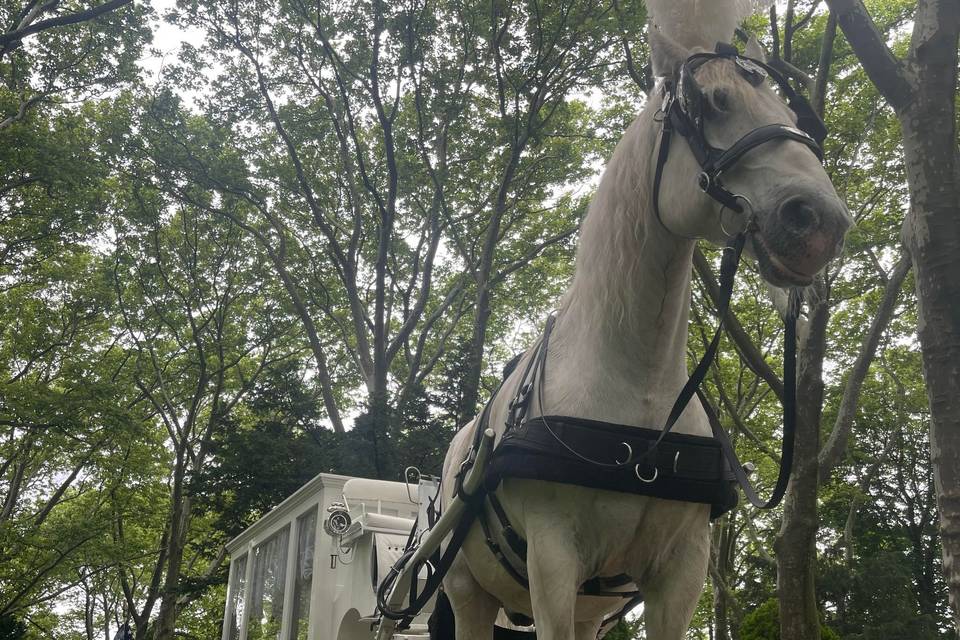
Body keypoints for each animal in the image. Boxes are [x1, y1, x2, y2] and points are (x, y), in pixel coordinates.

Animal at [438, 15, 852, 640]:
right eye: (711, 102)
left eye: (792, 111)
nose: (821, 222)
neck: (641, 389)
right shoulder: (553, 562)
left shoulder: (682, 568)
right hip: (469, 593)